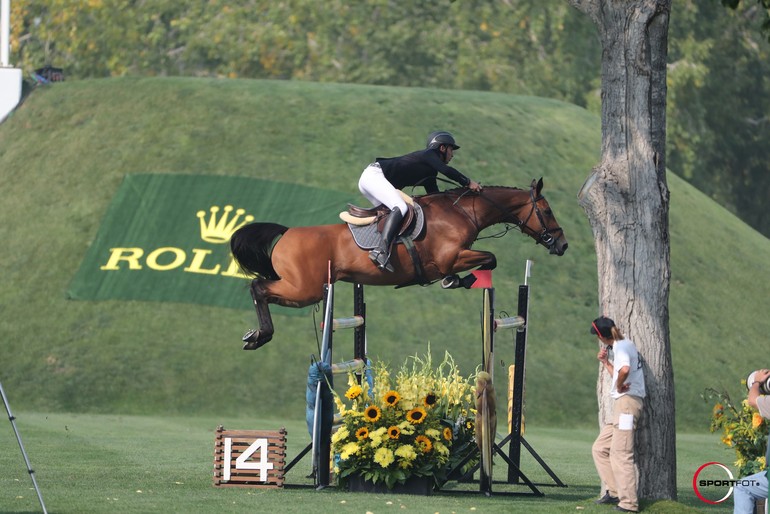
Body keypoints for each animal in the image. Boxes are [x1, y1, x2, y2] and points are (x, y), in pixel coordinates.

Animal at [228, 176, 564, 348]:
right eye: (547, 211)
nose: (563, 245)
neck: (461, 212)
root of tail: (286, 233)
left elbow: (488, 261)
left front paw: (460, 280)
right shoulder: (451, 257)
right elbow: (489, 259)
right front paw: (456, 280)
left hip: (303, 289)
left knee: (260, 288)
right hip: (304, 290)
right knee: (258, 288)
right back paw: (259, 335)